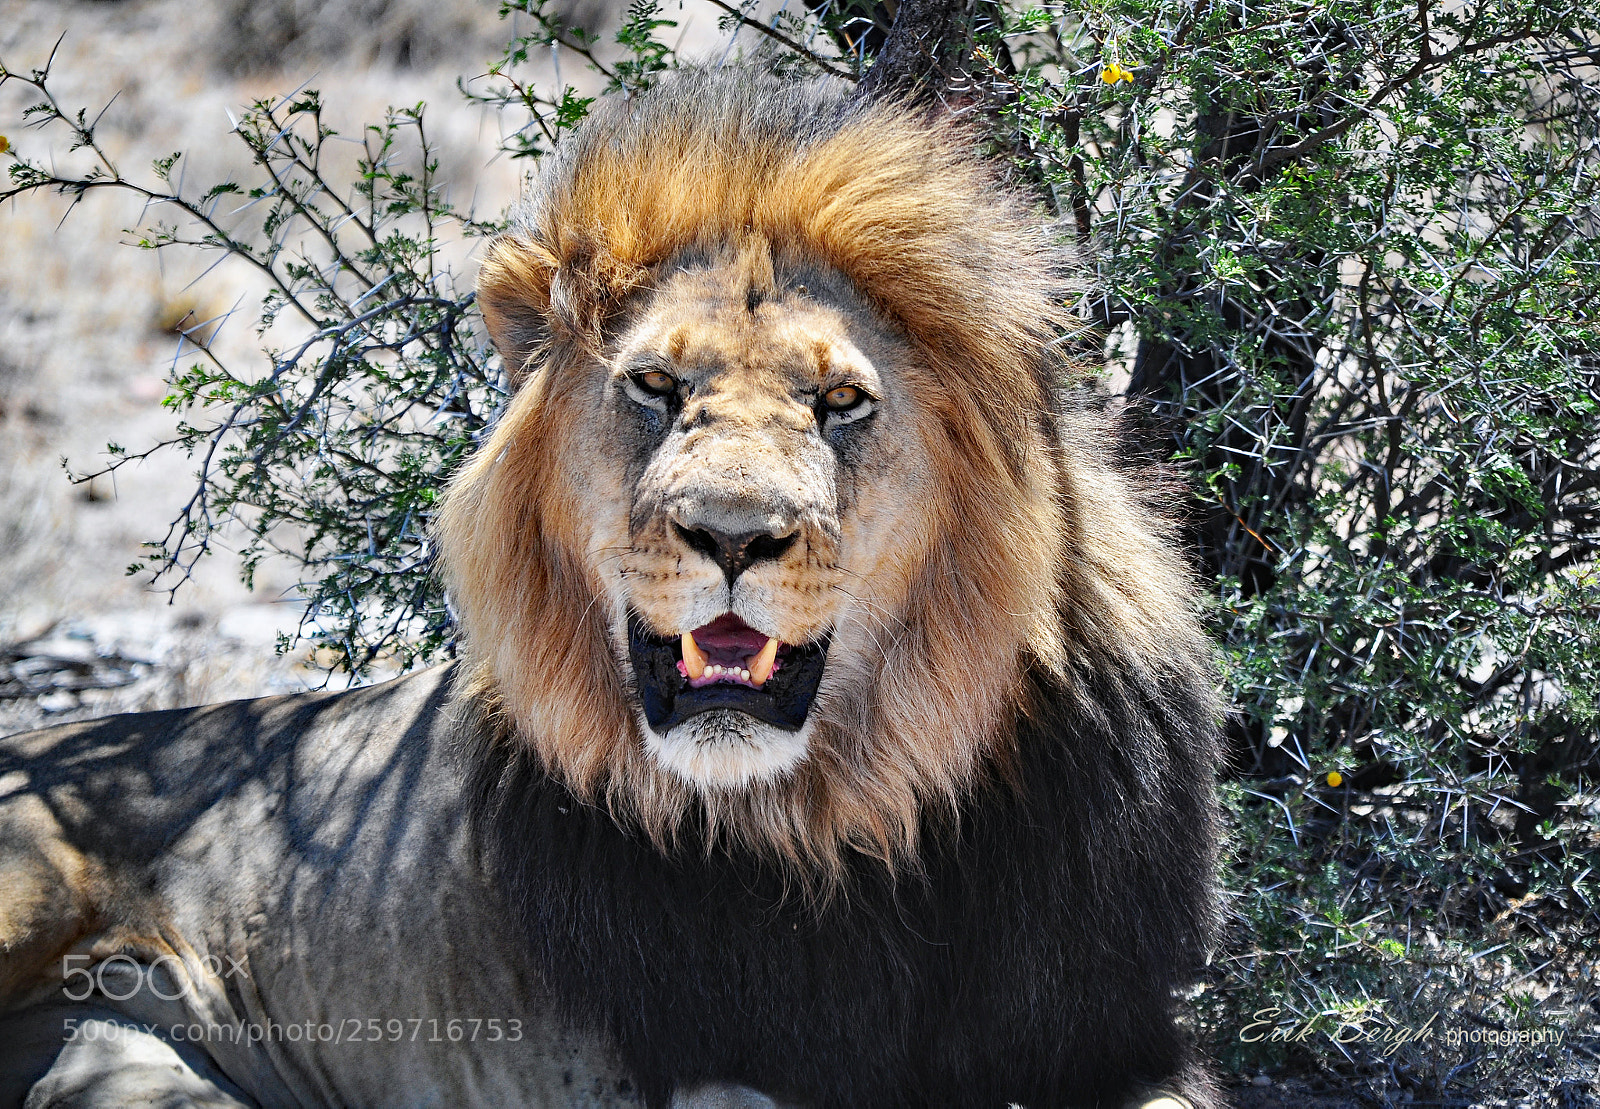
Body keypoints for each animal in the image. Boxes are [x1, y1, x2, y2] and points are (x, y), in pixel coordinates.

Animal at [0, 70, 1220, 1108]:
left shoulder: (1116, 1032)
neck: (847, 824)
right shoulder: (709, 1064)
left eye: (839, 401)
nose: (731, 532)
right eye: (655, 385)